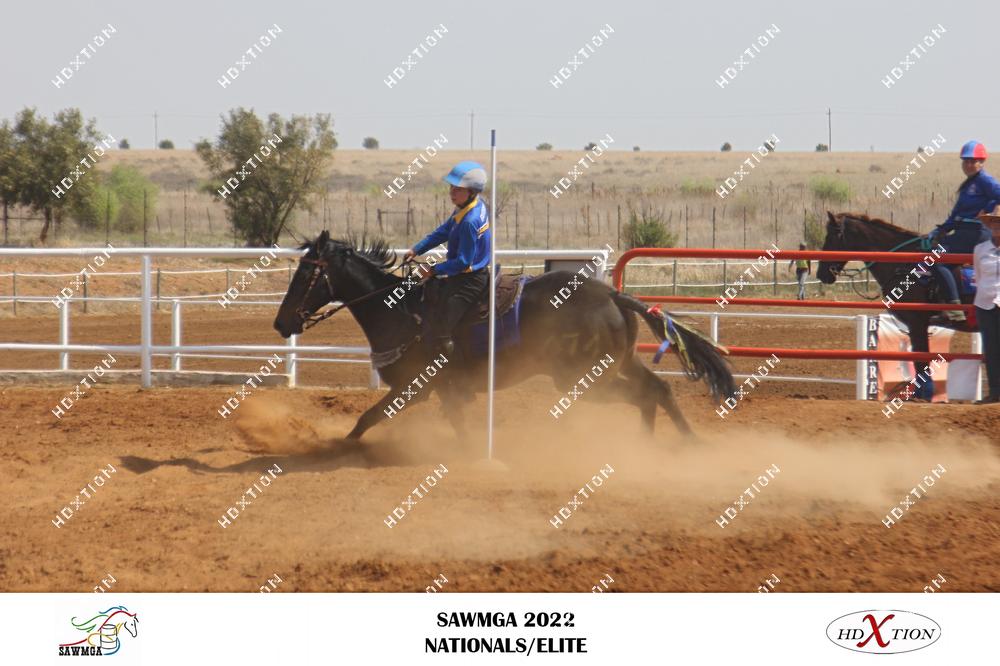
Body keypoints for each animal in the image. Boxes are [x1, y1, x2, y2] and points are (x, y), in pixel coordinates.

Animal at [272, 231, 736, 443]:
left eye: (307, 274)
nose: (280, 323)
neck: (402, 311)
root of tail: (611, 294)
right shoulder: (443, 392)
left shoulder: (415, 387)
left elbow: (368, 419)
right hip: (618, 365)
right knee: (658, 390)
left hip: (582, 379)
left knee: (646, 395)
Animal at [816, 212, 974, 400]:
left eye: (831, 236)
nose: (821, 273)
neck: (905, 266)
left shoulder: (917, 322)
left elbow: (921, 359)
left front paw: (923, 394)